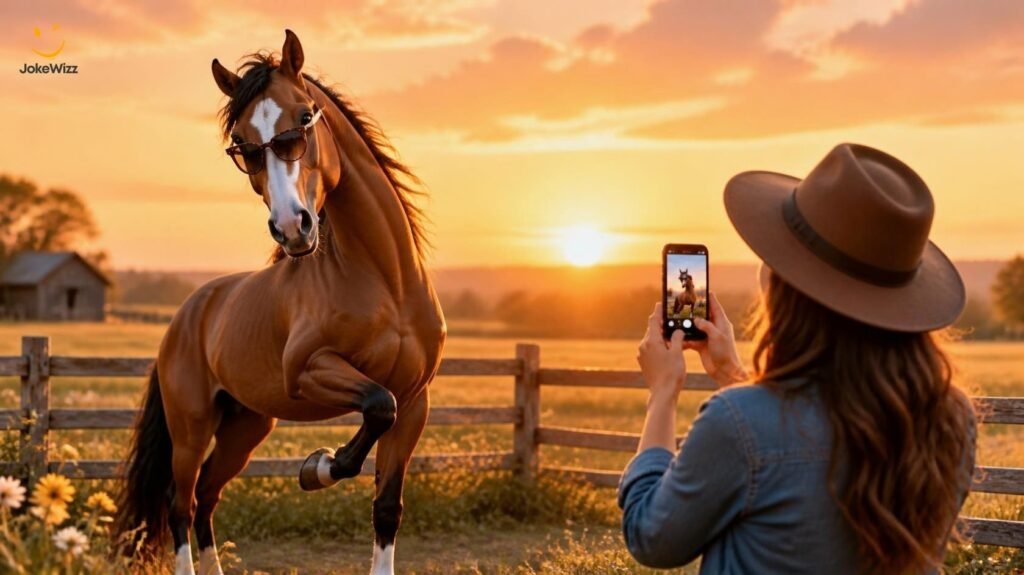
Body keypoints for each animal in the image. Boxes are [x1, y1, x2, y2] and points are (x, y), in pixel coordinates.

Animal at [115, 30, 445, 575]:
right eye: (243, 146)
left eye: (303, 118)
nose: (293, 228)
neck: (387, 283)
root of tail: (185, 316)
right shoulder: (307, 369)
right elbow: (377, 405)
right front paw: (318, 467)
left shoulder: (415, 400)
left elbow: (386, 507)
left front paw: (324, 469)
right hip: (191, 428)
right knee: (179, 502)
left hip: (245, 426)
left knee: (206, 497)